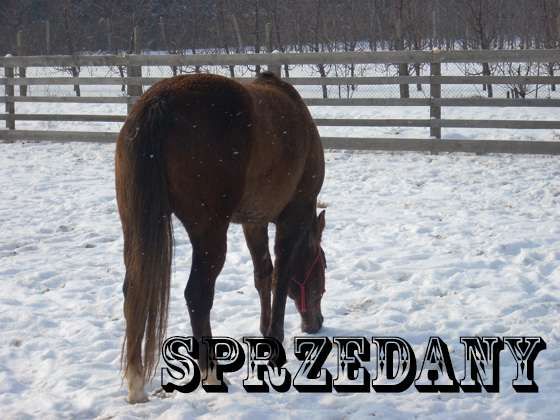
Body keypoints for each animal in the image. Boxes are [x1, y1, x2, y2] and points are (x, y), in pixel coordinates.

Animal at [115, 71, 326, 403]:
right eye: (323, 266)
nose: (316, 323)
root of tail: (158, 101)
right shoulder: (293, 217)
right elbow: (281, 277)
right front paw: (274, 342)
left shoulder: (253, 222)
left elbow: (263, 275)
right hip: (209, 234)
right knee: (197, 296)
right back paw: (210, 372)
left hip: (135, 228)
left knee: (134, 292)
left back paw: (136, 385)